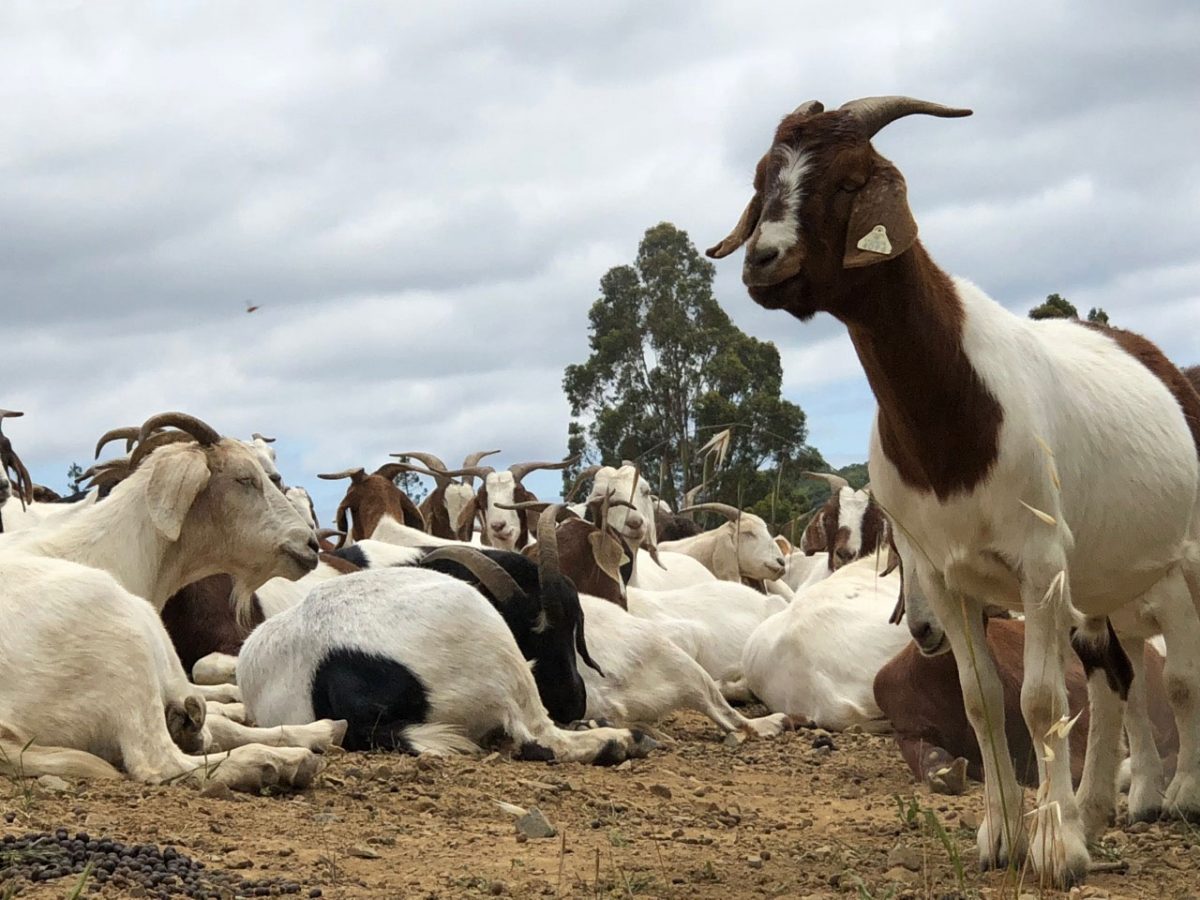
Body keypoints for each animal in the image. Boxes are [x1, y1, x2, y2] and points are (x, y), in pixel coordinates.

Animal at [0, 412, 339, 790]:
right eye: (244, 478)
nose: (309, 544)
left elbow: (220, 722)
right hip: (124, 650)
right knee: (159, 762)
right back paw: (277, 763)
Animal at [708, 94, 1200, 885]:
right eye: (762, 181)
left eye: (850, 181)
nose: (761, 261)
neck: (954, 406)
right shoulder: (947, 576)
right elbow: (983, 700)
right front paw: (1003, 837)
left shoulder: (1039, 564)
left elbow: (1040, 700)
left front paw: (1054, 849)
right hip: (1100, 576)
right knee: (1110, 676)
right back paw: (1100, 805)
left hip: (1182, 559)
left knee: (1175, 675)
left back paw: (1177, 796)